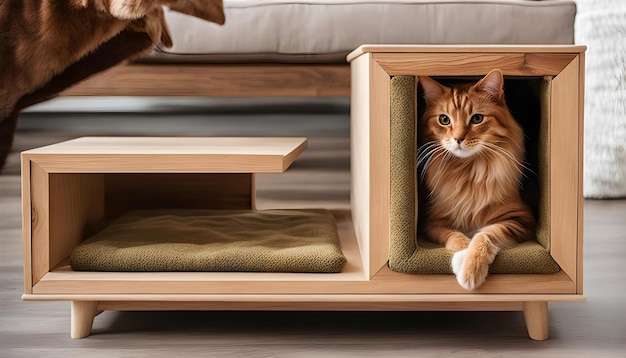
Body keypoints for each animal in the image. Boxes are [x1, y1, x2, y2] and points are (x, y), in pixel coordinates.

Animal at [416, 70, 532, 290]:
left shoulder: (519, 219)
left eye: (477, 118)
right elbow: (455, 236)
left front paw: (470, 269)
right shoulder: (433, 222)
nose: (458, 139)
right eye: (444, 120)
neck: (468, 171)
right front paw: (462, 256)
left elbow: (485, 234)